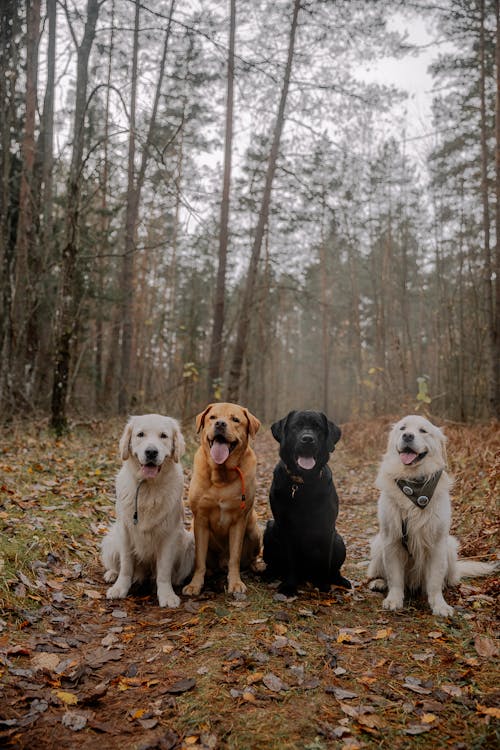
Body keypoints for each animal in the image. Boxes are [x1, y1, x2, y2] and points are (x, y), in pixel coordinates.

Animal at [101, 414, 193, 608]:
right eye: (140, 434)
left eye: (163, 436)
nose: (151, 452)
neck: (148, 487)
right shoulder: (125, 531)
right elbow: (126, 565)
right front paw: (120, 588)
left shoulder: (170, 534)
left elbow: (164, 570)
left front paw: (166, 595)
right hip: (111, 539)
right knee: (117, 564)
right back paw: (112, 574)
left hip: (188, 544)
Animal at [368, 418, 496, 616]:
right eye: (402, 428)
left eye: (423, 430)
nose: (407, 436)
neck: (413, 484)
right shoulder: (391, 540)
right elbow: (395, 577)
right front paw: (394, 599)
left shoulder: (437, 543)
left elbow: (435, 580)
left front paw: (439, 605)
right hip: (378, 543)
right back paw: (380, 582)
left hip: (450, 546)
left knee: (448, 578)